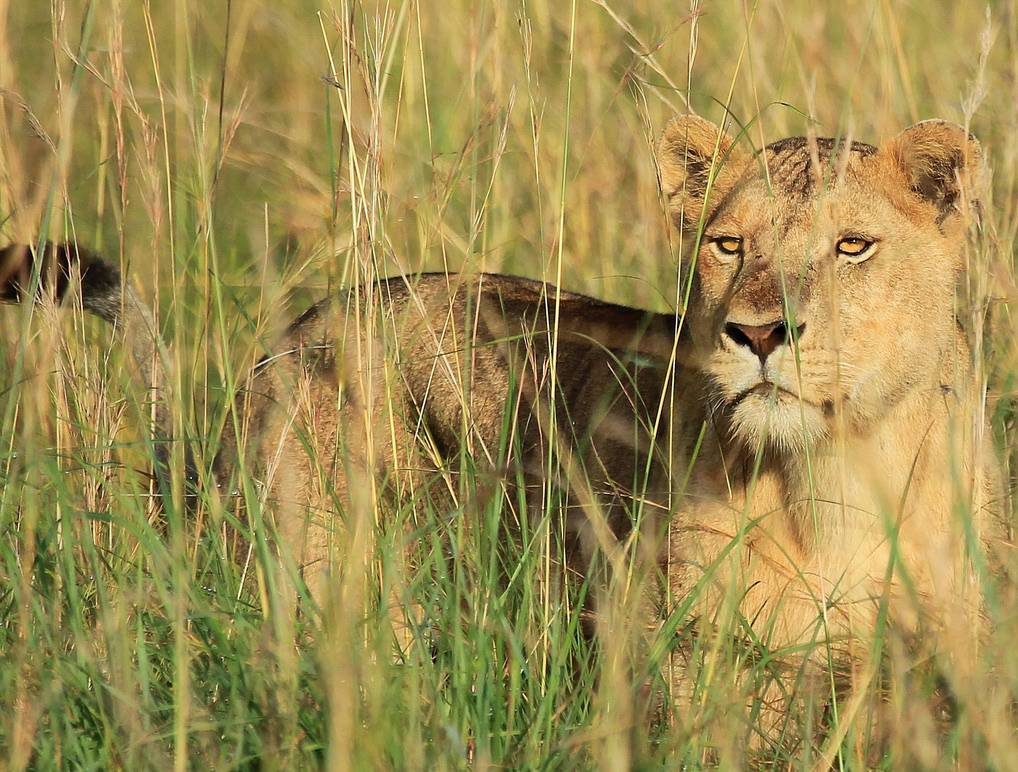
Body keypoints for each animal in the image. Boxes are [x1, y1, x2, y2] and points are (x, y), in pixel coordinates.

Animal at [0, 114, 1005, 751]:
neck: (837, 475)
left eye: (851, 247)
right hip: (324, 589)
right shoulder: (701, 675)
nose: (758, 334)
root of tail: (286, 338)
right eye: (728, 245)